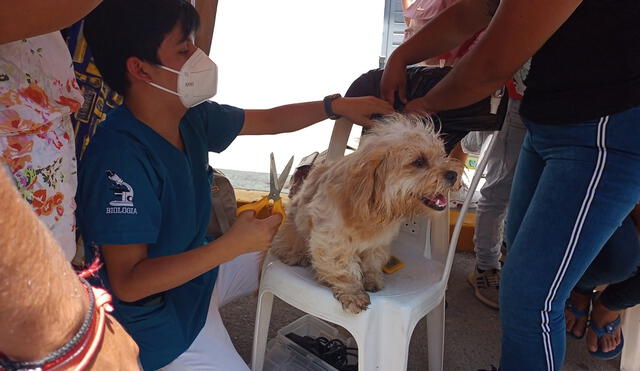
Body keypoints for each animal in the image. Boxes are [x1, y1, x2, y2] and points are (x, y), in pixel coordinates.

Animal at [270, 115, 460, 314]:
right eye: (419, 162)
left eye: (441, 155)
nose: (453, 174)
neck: (372, 209)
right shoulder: (331, 242)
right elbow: (344, 271)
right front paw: (353, 293)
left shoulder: (378, 243)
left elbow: (372, 262)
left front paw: (372, 279)